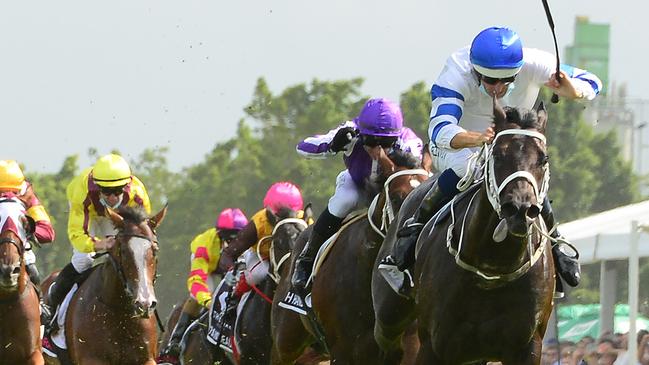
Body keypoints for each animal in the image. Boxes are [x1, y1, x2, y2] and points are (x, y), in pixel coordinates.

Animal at [372, 99, 556, 364]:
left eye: (544, 158)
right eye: (498, 154)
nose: (520, 209)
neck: (493, 269)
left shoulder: (528, 346)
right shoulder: (434, 344)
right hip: (389, 317)